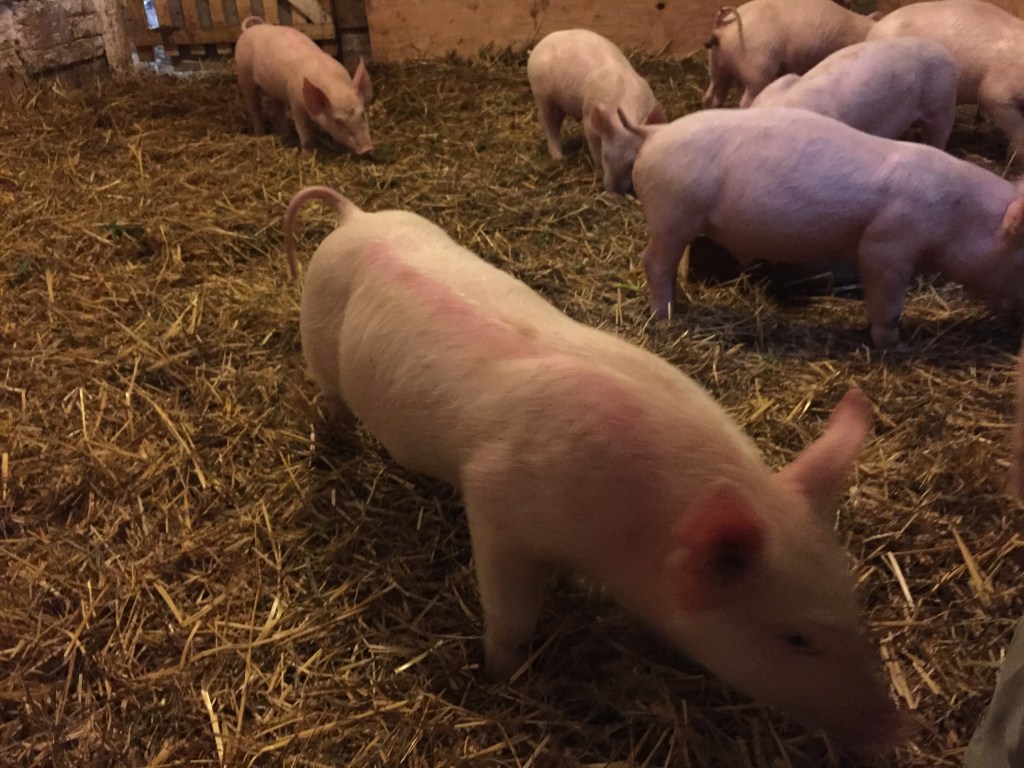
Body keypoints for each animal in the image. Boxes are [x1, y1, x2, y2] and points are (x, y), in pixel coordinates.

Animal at [234, 15, 373, 154]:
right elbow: (303, 129)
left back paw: (286, 136)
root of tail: (248, 30)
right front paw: (308, 153)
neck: (334, 86)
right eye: (337, 121)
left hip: (274, 87)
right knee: (254, 106)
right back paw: (260, 134)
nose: (366, 148)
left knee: (277, 108)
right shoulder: (295, 102)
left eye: (363, 114)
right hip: (244, 74)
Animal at [283, 183, 911, 750]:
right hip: (317, 340)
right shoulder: (495, 505)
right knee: (330, 398)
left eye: (855, 607)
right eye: (796, 638)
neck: (639, 527)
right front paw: (502, 675)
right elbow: (510, 614)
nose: (895, 730)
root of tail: (354, 217)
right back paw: (336, 440)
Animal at [526, 29, 666, 195]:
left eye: (633, 160)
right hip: (542, 94)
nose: (614, 193)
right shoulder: (589, 118)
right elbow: (593, 146)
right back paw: (559, 158)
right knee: (548, 123)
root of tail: (538, 46)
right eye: (605, 156)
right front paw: (598, 172)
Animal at [624, 107, 1024, 348]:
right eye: (1019, 257)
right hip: (672, 212)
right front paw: (894, 344)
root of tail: (653, 132)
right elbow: (888, 298)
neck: (958, 216)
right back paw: (666, 317)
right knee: (652, 261)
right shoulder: (887, 244)